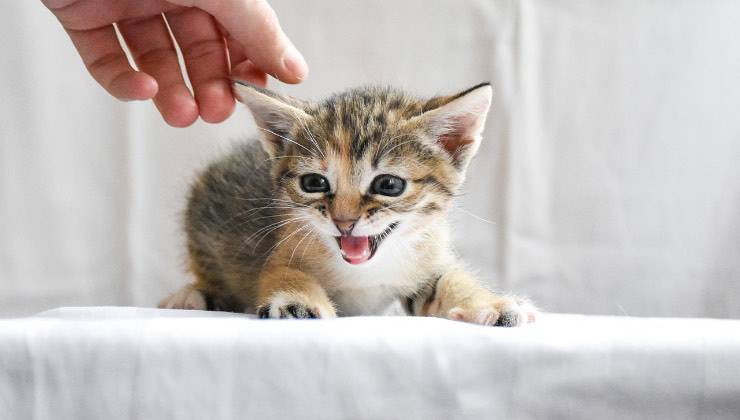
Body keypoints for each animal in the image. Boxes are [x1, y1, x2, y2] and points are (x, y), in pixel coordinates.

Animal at [158, 81, 536, 324]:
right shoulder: (284, 246)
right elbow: (282, 271)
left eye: (388, 184)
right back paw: (190, 296)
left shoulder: (427, 261)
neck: (366, 273)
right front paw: (296, 300)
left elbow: (449, 278)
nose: (344, 221)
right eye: (314, 183)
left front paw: (490, 304)